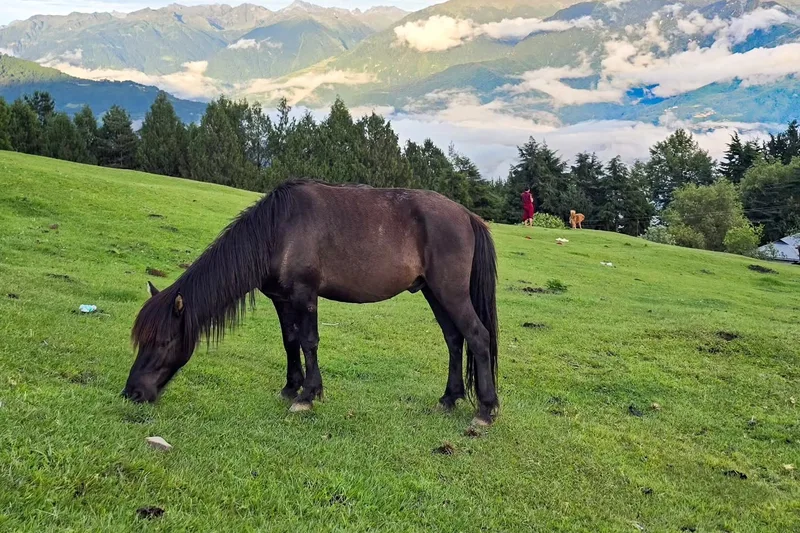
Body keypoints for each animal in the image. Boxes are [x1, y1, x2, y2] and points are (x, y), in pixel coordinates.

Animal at [123, 180, 500, 426]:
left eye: (164, 342)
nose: (132, 393)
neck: (278, 229)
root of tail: (467, 216)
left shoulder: (305, 295)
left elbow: (308, 341)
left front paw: (307, 396)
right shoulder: (281, 299)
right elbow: (290, 342)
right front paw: (291, 388)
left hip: (450, 292)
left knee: (478, 337)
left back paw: (485, 410)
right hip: (433, 293)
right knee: (454, 340)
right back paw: (448, 399)